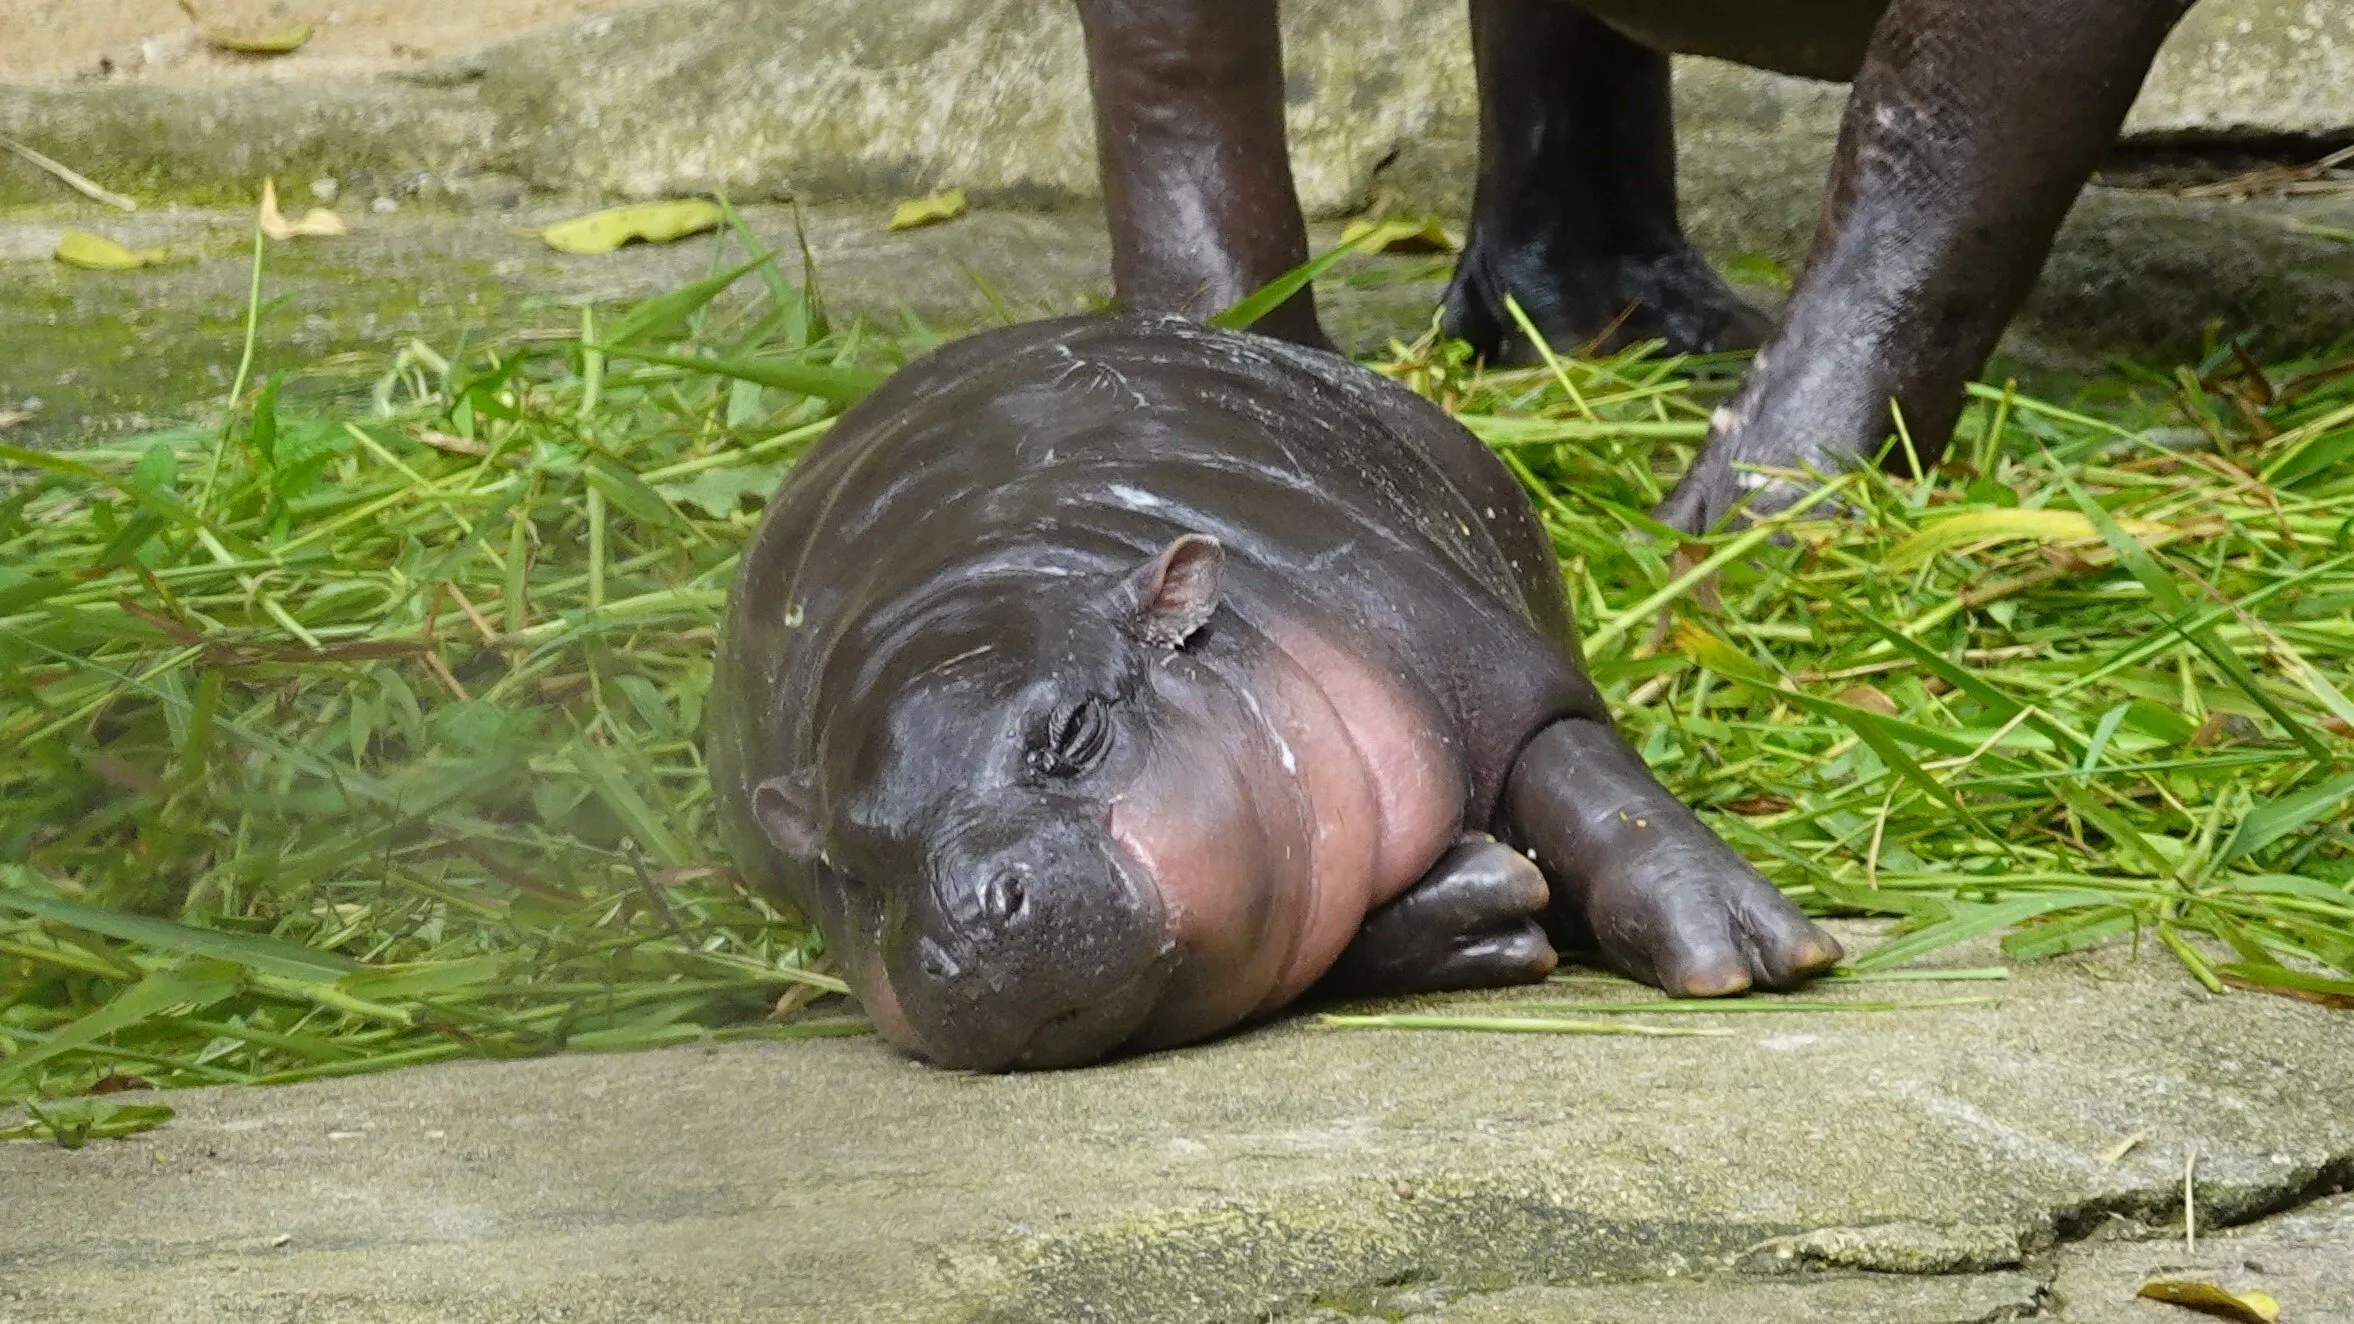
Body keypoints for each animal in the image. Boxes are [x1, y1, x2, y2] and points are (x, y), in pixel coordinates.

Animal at [706, 313, 1845, 1064]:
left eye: (1073, 729)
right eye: (847, 868)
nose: (966, 925)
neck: (988, 576)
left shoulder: (1459, 647)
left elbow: (1599, 790)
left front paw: (1743, 950)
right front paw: (1494, 897)